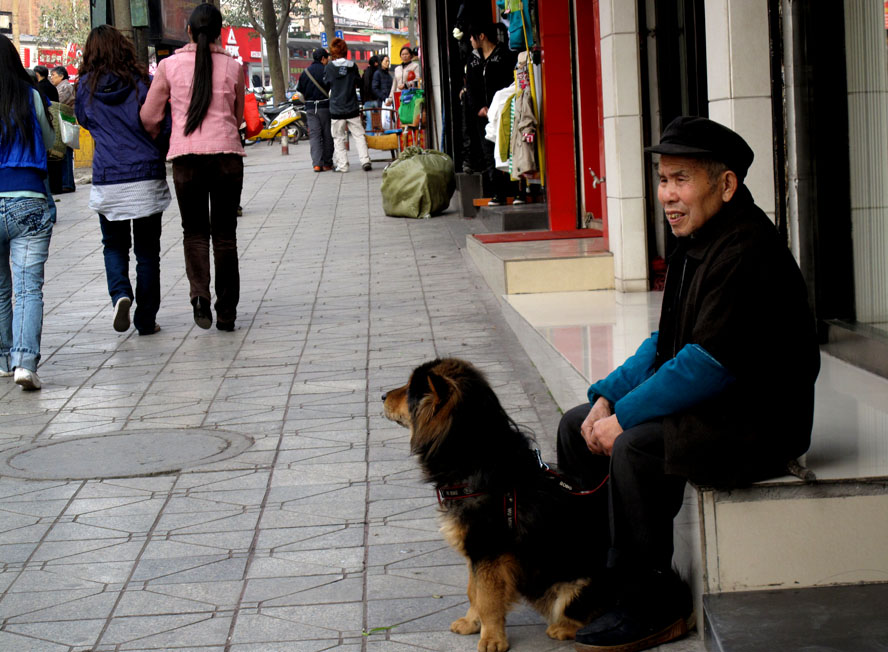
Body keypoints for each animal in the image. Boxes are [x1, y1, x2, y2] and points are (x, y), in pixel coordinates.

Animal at [382, 360, 612, 648]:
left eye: (410, 390)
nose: (381, 396)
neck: (474, 461)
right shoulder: (475, 552)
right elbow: (474, 592)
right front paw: (472, 623)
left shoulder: (489, 551)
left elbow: (488, 599)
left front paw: (492, 639)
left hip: (576, 586)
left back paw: (564, 628)